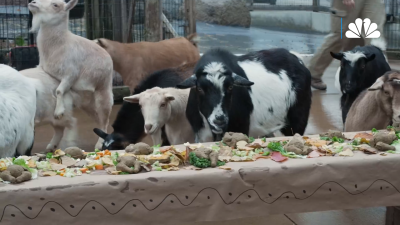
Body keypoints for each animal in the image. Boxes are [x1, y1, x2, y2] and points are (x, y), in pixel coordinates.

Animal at [28, 0, 113, 149]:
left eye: (55, 5)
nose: (33, 3)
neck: (61, 44)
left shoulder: (70, 74)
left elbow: (59, 90)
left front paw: (58, 112)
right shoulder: (46, 70)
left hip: (103, 92)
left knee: (104, 119)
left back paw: (98, 145)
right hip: (88, 103)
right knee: (100, 120)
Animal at [177, 48, 312, 142]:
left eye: (230, 87)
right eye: (200, 89)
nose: (220, 120)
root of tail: (297, 60)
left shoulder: (240, 128)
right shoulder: (201, 135)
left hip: (297, 120)